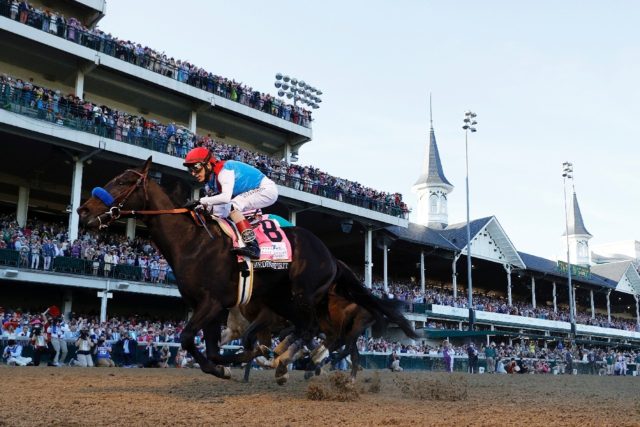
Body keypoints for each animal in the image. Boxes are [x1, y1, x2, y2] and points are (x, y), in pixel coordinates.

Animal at [76, 159, 420, 380]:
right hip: (285, 301)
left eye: (123, 181)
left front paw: (244, 361)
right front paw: (226, 366)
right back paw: (291, 361)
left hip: (305, 295)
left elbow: (188, 337)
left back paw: (298, 362)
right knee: (313, 333)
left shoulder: (213, 302)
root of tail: (332, 257)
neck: (192, 241)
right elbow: (212, 349)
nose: (83, 210)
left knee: (318, 333)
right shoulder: (211, 308)